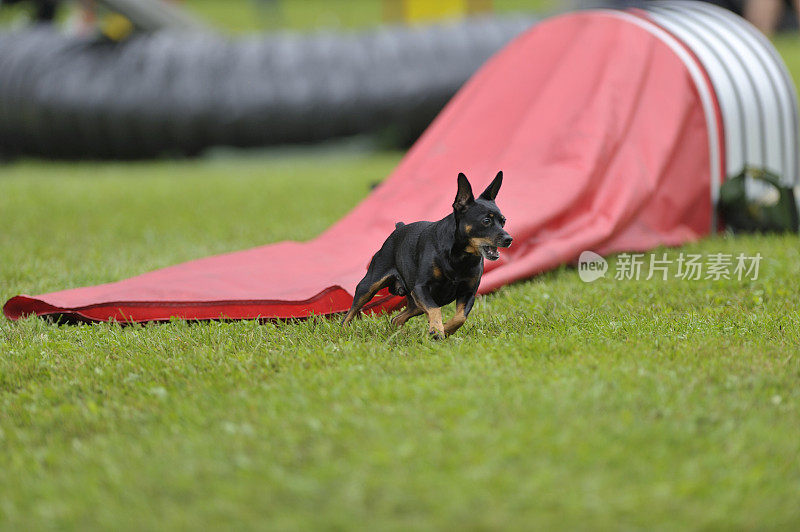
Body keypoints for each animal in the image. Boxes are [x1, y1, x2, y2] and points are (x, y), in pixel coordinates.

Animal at [340, 172, 510, 338]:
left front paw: (444, 329)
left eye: (503, 221)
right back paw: (344, 331)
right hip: (369, 286)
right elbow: (435, 309)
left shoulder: (468, 292)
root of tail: (399, 228)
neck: (460, 257)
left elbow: (460, 317)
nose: (509, 239)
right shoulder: (421, 288)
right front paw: (437, 329)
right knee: (350, 313)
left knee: (396, 319)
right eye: (486, 221)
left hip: (415, 304)